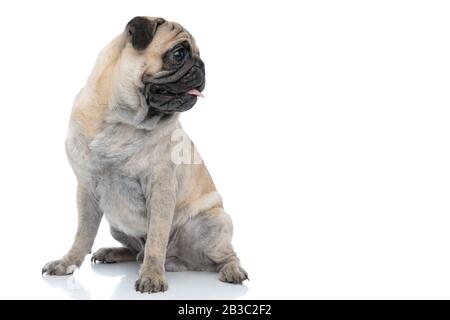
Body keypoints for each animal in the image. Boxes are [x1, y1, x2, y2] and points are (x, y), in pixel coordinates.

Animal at [40, 16, 248, 292]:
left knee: (225, 255)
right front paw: (67, 263)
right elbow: (82, 235)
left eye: (198, 56)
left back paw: (232, 270)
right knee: (137, 250)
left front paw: (152, 276)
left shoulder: (160, 190)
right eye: (179, 54)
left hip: (213, 223)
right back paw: (113, 252)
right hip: (116, 224)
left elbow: (156, 241)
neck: (122, 121)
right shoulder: (86, 189)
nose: (201, 66)